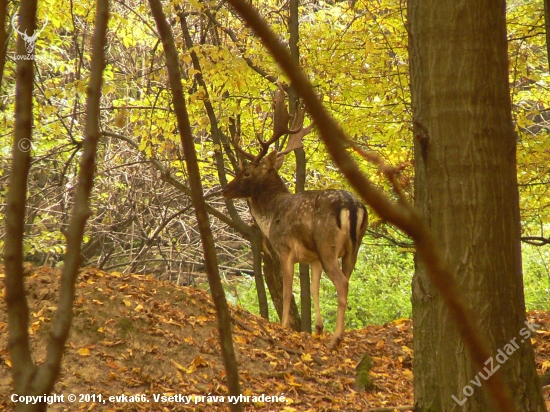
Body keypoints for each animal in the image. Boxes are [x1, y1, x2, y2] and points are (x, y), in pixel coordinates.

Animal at [222, 88, 368, 350]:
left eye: (246, 172)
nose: (225, 190)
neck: (271, 217)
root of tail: (352, 206)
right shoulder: (313, 257)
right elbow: (314, 287)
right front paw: (317, 328)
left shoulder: (285, 248)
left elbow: (288, 290)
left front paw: (283, 326)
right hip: (352, 247)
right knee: (347, 279)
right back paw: (336, 334)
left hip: (327, 244)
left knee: (342, 283)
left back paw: (336, 338)